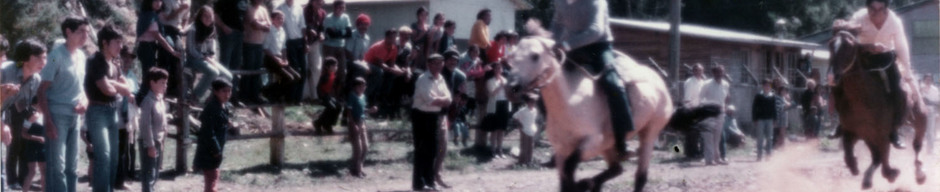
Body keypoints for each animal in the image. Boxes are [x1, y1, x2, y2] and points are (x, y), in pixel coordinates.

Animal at [506, 25, 676, 192]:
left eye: (535, 56)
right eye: (512, 55)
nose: (512, 87)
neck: (570, 101)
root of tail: (659, 82)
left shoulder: (593, 142)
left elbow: (570, 168)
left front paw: (581, 185)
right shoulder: (562, 149)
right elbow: (565, 179)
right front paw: (584, 184)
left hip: (650, 132)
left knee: (640, 177)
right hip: (609, 147)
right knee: (617, 169)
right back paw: (593, 183)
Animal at [828, 30, 928, 189]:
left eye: (849, 48)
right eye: (830, 45)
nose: (832, 77)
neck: (862, 101)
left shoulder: (882, 135)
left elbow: (885, 164)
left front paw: (892, 174)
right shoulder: (851, 132)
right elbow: (849, 155)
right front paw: (854, 166)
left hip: (921, 120)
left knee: (917, 146)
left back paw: (920, 174)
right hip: (869, 137)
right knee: (876, 157)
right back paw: (867, 179)